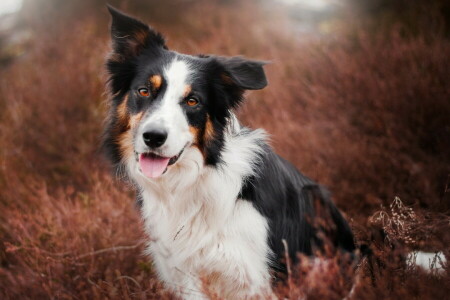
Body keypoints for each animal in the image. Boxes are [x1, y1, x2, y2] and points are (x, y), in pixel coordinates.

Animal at [103, 5, 356, 298]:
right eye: (143, 91)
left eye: (193, 101)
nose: (153, 137)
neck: (192, 182)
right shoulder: (185, 275)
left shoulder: (257, 279)